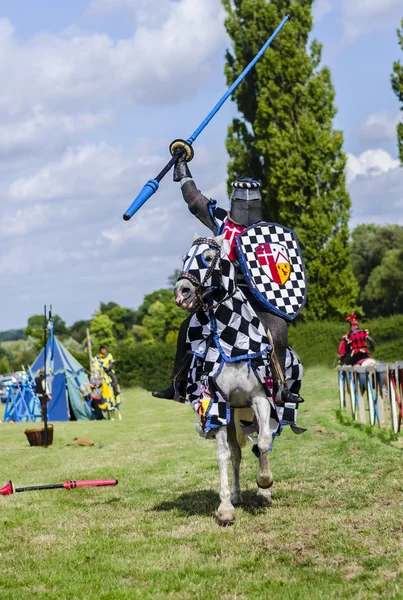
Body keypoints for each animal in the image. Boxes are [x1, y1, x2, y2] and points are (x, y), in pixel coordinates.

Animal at [175, 234, 298, 524]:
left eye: (209, 257)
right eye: (185, 257)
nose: (182, 292)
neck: (233, 343)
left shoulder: (260, 399)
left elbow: (263, 442)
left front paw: (265, 484)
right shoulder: (217, 406)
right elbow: (224, 456)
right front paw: (225, 508)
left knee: (262, 443)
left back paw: (263, 494)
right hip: (233, 415)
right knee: (237, 455)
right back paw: (237, 495)